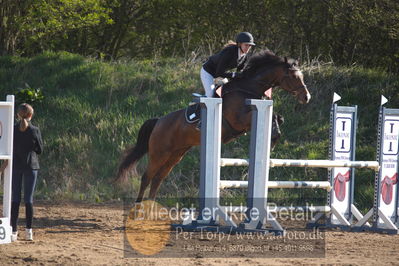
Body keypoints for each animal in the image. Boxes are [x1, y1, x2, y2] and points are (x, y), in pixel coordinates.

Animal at [116, 51, 312, 203]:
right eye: (294, 76)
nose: (306, 97)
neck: (247, 87)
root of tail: (159, 121)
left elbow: (278, 117)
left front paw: (274, 138)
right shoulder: (239, 120)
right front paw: (273, 138)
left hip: (176, 154)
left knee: (158, 179)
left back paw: (151, 208)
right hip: (160, 152)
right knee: (147, 177)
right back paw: (139, 207)